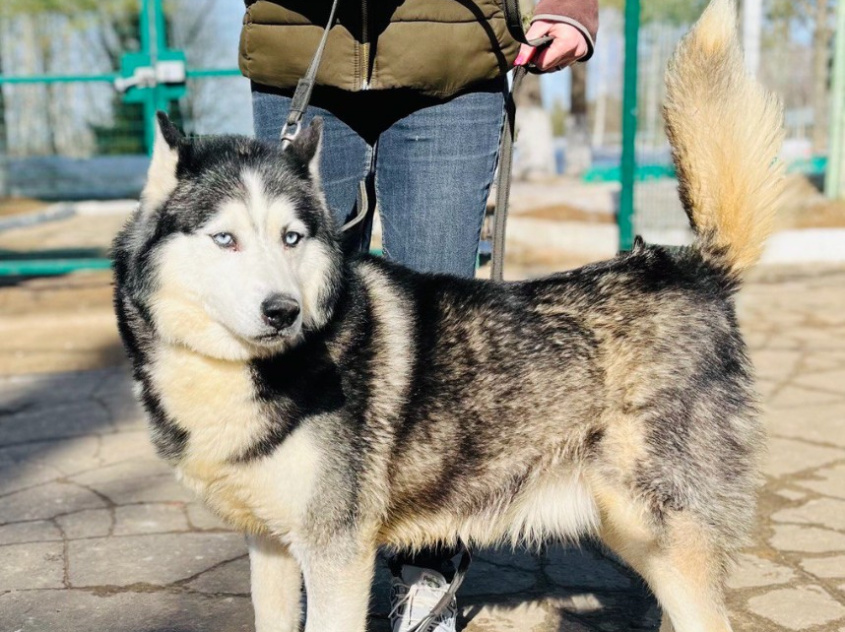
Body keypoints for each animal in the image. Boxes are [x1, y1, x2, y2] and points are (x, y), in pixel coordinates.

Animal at [112, 2, 784, 628]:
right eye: (225, 239)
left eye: (291, 238)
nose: (284, 312)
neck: (249, 373)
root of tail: (690, 266)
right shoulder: (271, 545)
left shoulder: (336, 553)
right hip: (637, 532)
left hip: (658, 527)